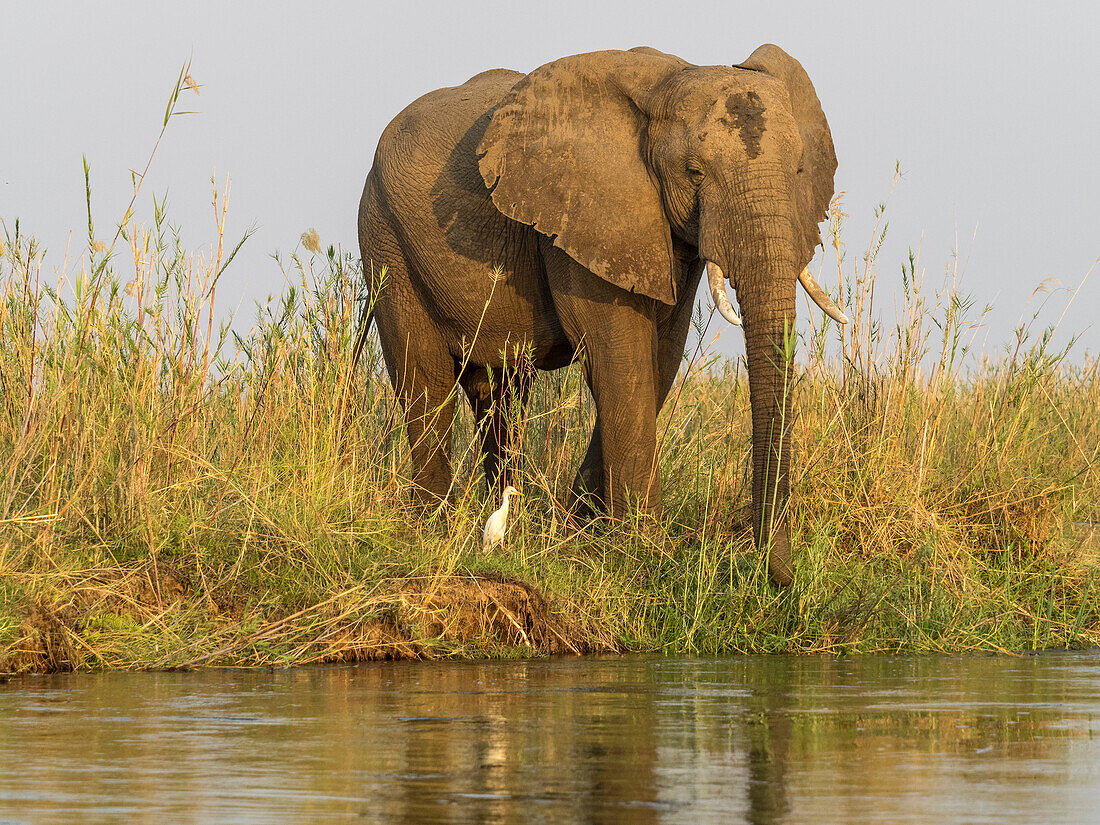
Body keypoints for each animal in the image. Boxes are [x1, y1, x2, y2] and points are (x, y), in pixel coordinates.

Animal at [356, 45, 844, 589]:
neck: (667, 85)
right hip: (386, 240)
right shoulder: (583, 212)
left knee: (500, 392)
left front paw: (584, 529)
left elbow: (658, 361)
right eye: (695, 173)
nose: (776, 576)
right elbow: (621, 361)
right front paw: (643, 553)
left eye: (799, 172)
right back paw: (435, 524)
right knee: (424, 380)